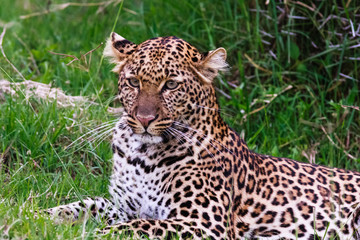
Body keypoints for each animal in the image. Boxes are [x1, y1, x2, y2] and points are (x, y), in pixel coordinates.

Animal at [43, 32, 360, 240]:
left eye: (171, 85)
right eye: (133, 82)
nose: (144, 119)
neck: (141, 153)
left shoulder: (204, 223)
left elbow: (139, 227)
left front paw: (97, 234)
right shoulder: (123, 205)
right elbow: (84, 204)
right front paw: (41, 216)